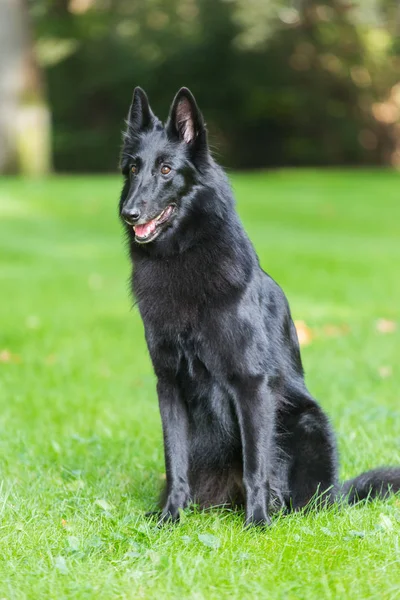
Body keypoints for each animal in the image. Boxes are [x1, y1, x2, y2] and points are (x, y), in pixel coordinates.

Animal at [119, 85, 400, 524]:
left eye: (166, 170)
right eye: (133, 168)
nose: (129, 213)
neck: (183, 254)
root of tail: (337, 495)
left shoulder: (251, 384)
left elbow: (256, 463)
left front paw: (258, 523)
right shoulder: (169, 386)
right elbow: (175, 459)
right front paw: (171, 517)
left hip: (305, 420)